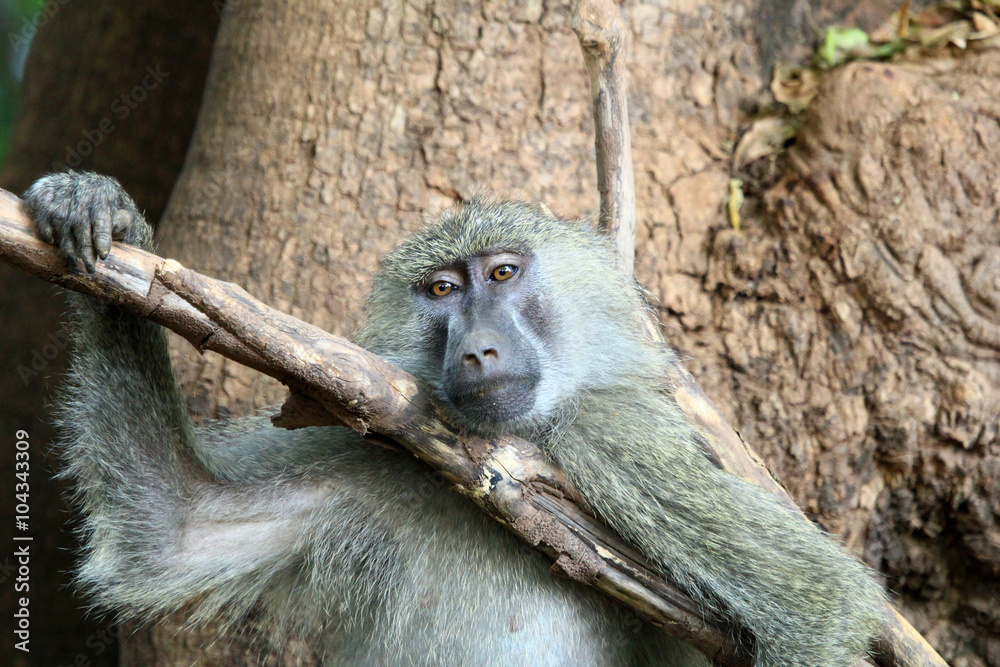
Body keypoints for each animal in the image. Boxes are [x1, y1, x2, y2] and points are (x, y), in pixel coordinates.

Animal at [25, 171, 888, 666]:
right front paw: (103, 216)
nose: (476, 350)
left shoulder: (609, 436)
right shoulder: (372, 448)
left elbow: (813, 602)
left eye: (503, 273)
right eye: (441, 290)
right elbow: (178, 526)